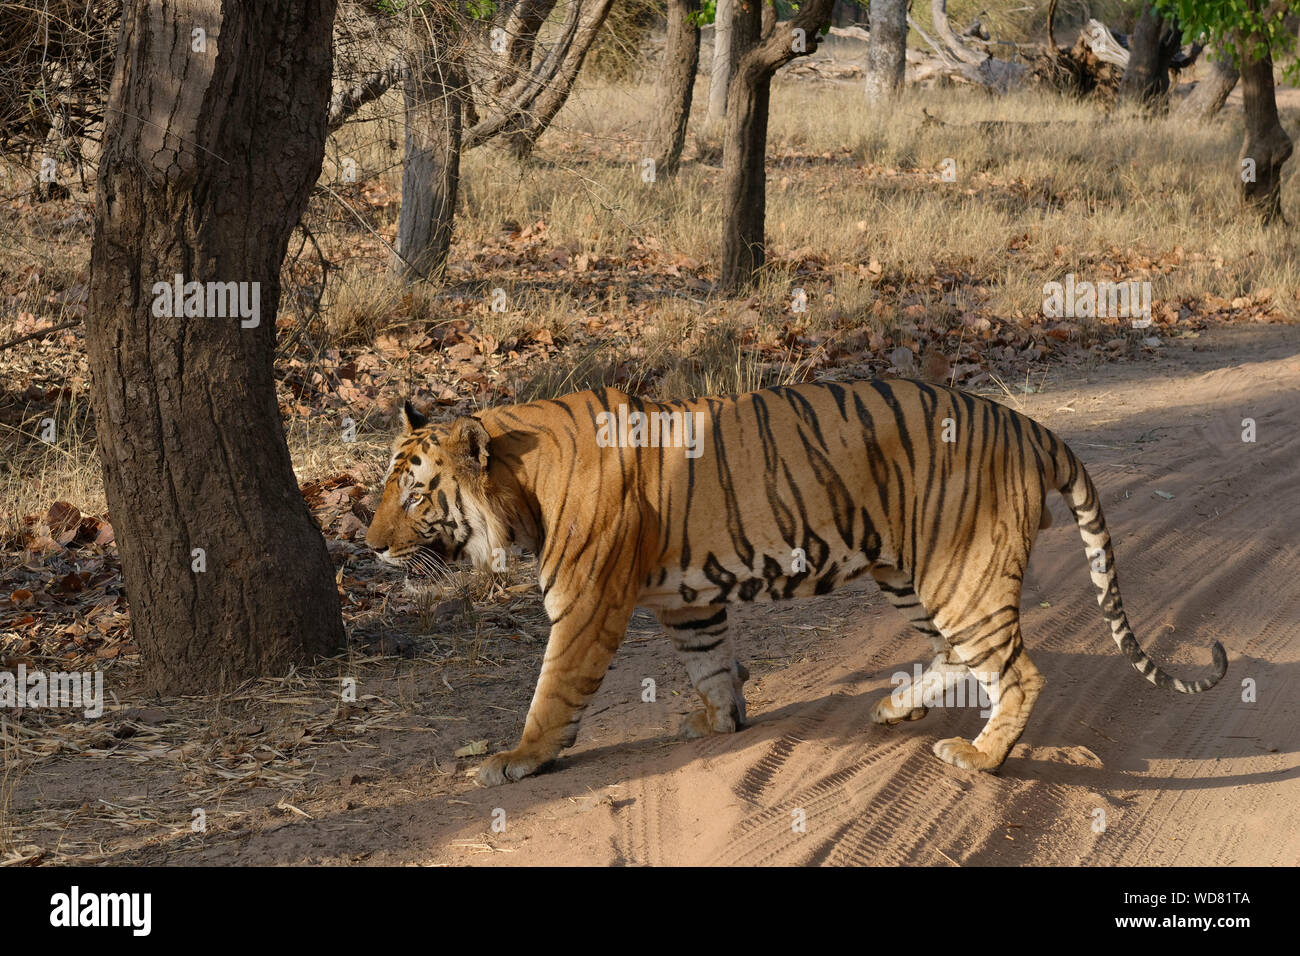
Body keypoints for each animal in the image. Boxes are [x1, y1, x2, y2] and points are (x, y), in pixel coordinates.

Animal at [366, 377, 1227, 790]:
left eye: (411, 496)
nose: (369, 546)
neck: (520, 485)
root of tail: (1029, 424)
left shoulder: (584, 604)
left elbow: (553, 691)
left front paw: (516, 758)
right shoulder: (691, 604)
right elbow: (711, 664)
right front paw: (716, 722)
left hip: (962, 572)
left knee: (1018, 672)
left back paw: (979, 759)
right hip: (912, 574)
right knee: (962, 656)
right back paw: (896, 708)